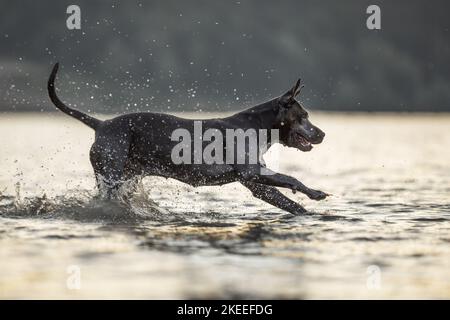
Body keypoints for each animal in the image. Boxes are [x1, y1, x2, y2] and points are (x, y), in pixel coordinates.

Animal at [47, 62, 326, 214]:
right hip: (112, 174)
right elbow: (291, 178)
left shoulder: (257, 183)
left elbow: (291, 203)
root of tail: (102, 124)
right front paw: (314, 192)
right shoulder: (251, 171)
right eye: (304, 116)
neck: (256, 125)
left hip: (126, 175)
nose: (322, 134)